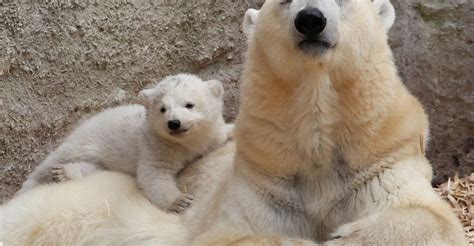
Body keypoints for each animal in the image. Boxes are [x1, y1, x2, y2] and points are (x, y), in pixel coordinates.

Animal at [0, 0, 466, 245]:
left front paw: (346, 234)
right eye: (285, 1)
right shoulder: (262, 182)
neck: (315, 144)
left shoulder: (379, 158)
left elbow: (429, 219)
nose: (310, 18)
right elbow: (234, 234)